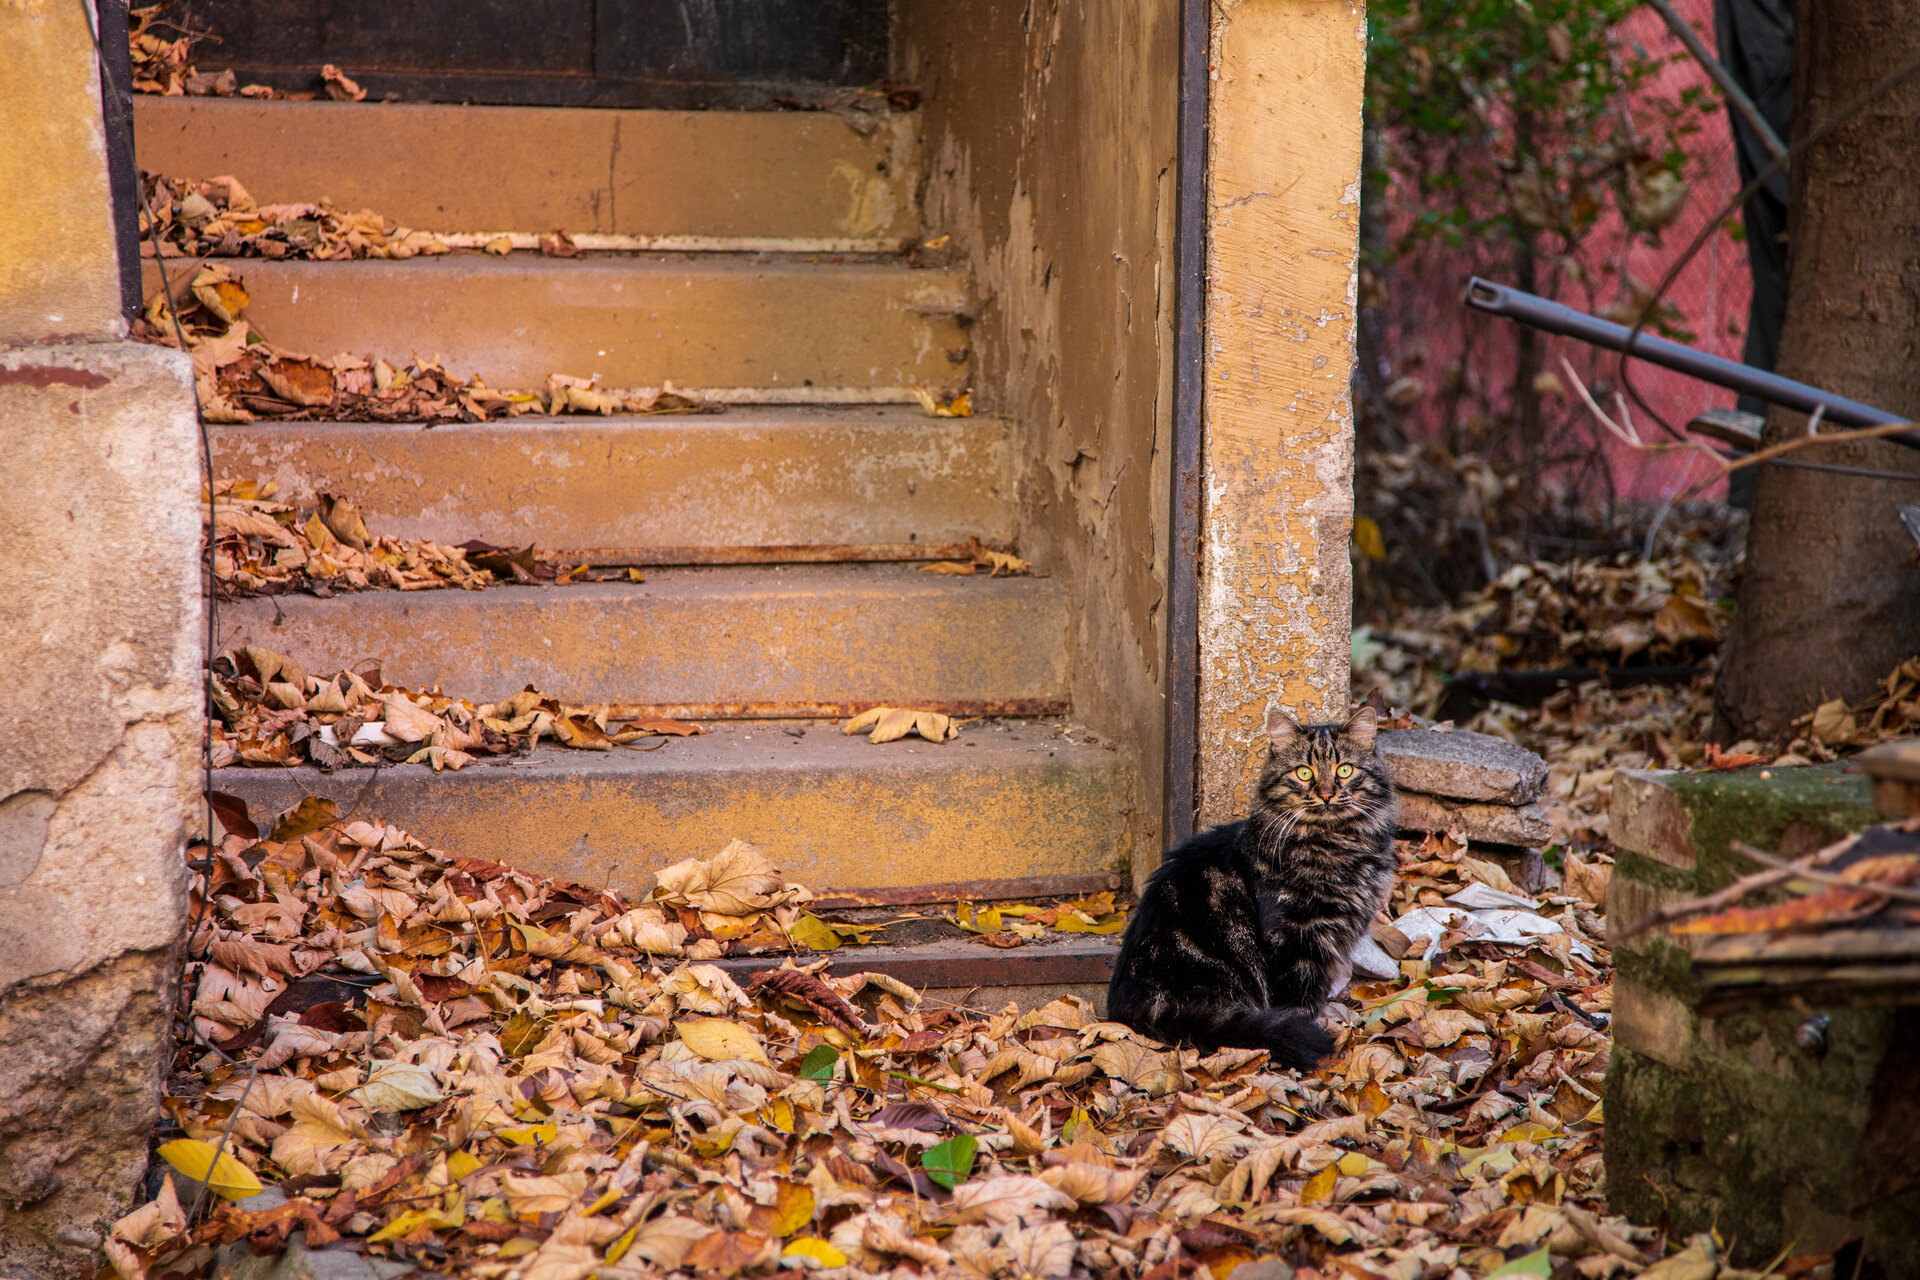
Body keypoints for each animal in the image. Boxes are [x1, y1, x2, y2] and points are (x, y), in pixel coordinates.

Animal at [1105, 706, 1405, 1066]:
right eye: (1304, 773)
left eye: (1344, 770)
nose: (1326, 793)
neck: (1336, 846)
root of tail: (1126, 1009)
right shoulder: (1293, 943)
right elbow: (1297, 1004)